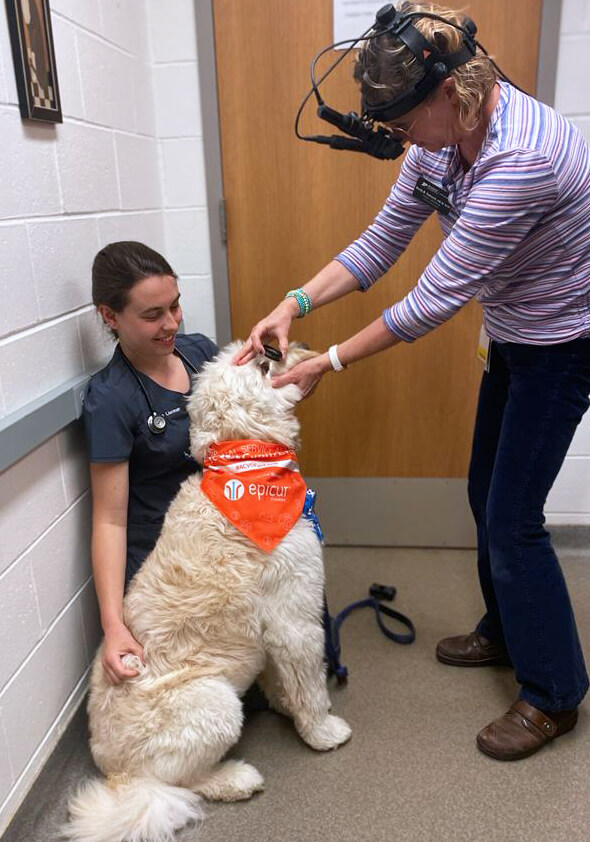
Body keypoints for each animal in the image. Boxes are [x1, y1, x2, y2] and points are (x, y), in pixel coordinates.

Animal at [65, 342, 352, 840]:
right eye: (267, 362)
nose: (297, 347)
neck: (245, 462)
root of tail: (118, 777)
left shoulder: (274, 627)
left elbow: (284, 677)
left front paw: (283, 703)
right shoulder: (294, 617)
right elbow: (310, 683)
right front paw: (321, 732)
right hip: (214, 704)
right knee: (184, 783)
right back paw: (236, 779)